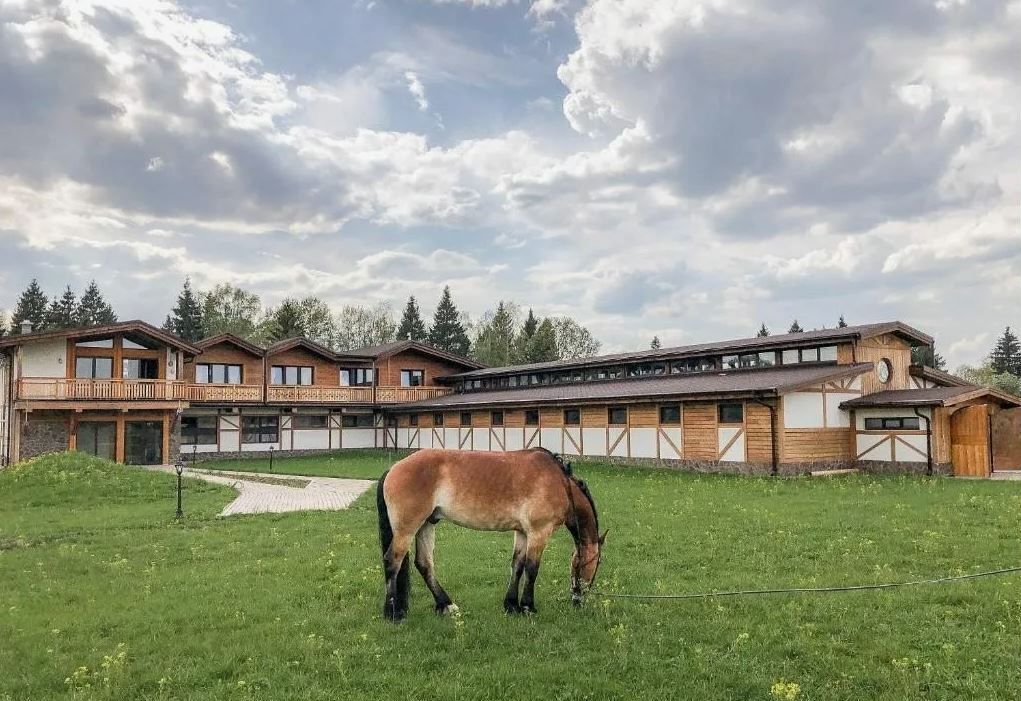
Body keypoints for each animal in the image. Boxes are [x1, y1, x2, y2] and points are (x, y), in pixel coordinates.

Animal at [377, 446, 604, 624]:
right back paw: (393, 613)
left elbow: (517, 566)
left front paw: (511, 605)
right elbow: (531, 569)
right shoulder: (539, 532)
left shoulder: (522, 533)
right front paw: (528, 607)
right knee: (392, 562)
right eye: (595, 565)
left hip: (426, 525)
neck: (560, 483)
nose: (578, 600)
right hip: (407, 529)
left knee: (424, 564)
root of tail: (394, 468)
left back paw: (446, 605)